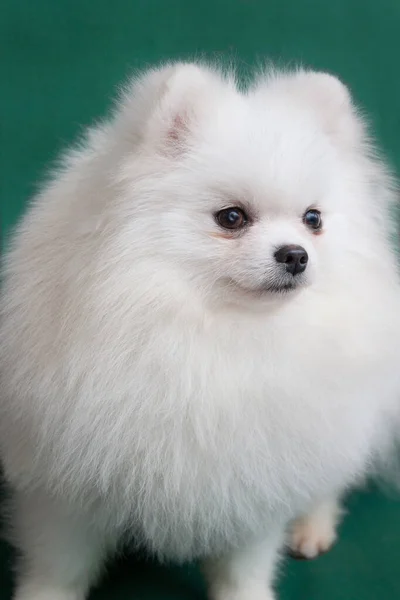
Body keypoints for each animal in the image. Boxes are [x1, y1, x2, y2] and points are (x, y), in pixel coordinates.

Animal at [0, 62, 400, 600]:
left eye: (313, 219)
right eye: (231, 217)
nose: (296, 254)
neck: (211, 333)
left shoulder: (254, 479)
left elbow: (243, 565)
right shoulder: (62, 482)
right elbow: (58, 562)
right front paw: (44, 595)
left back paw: (311, 525)